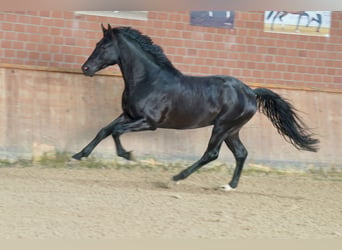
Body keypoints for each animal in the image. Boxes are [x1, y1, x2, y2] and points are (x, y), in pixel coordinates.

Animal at [71, 24, 318, 190]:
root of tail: (251, 92)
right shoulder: (128, 114)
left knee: (211, 154)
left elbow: (115, 131)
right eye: (97, 44)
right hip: (232, 130)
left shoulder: (148, 122)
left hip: (222, 127)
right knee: (241, 153)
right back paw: (229, 186)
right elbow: (104, 129)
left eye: (104, 45)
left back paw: (177, 178)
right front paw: (78, 155)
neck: (148, 80)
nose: (85, 68)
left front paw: (128, 155)